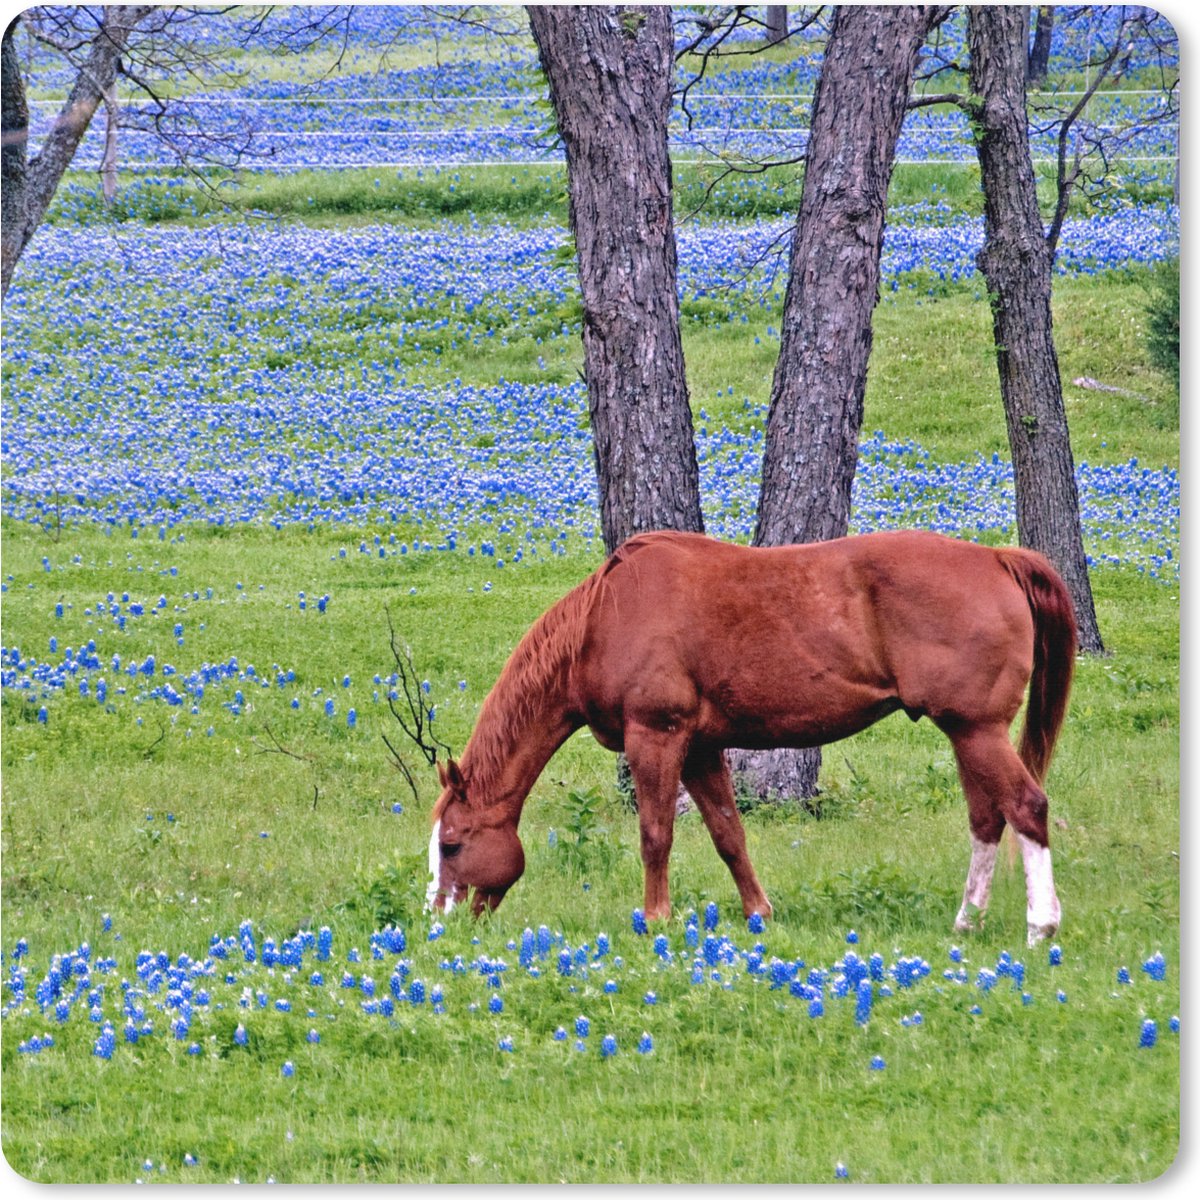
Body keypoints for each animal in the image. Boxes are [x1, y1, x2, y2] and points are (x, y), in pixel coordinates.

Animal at [426, 529, 1077, 946]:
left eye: (452, 845)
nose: (439, 921)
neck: (603, 620)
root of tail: (997, 558)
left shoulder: (657, 737)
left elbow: (656, 835)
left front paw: (655, 919)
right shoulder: (701, 749)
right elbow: (728, 835)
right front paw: (758, 913)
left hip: (977, 731)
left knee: (1026, 807)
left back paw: (1040, 925)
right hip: (967, 734)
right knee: (987, 820)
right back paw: (967, 922)